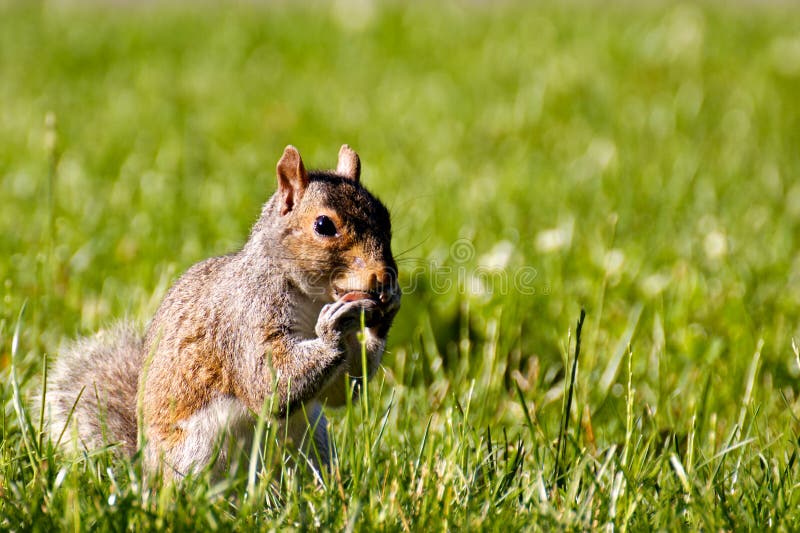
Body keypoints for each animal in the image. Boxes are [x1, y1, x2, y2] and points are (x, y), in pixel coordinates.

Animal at [43, 145, 401, 479]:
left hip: (313, 438)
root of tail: (146, 472)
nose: (384, 276)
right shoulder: (244, 318)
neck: (312, 299)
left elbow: (341, 390)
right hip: (195, 451)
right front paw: (331, 331)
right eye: (323, 225)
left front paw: (386, 313)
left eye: (386, 217)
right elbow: (266, 382)